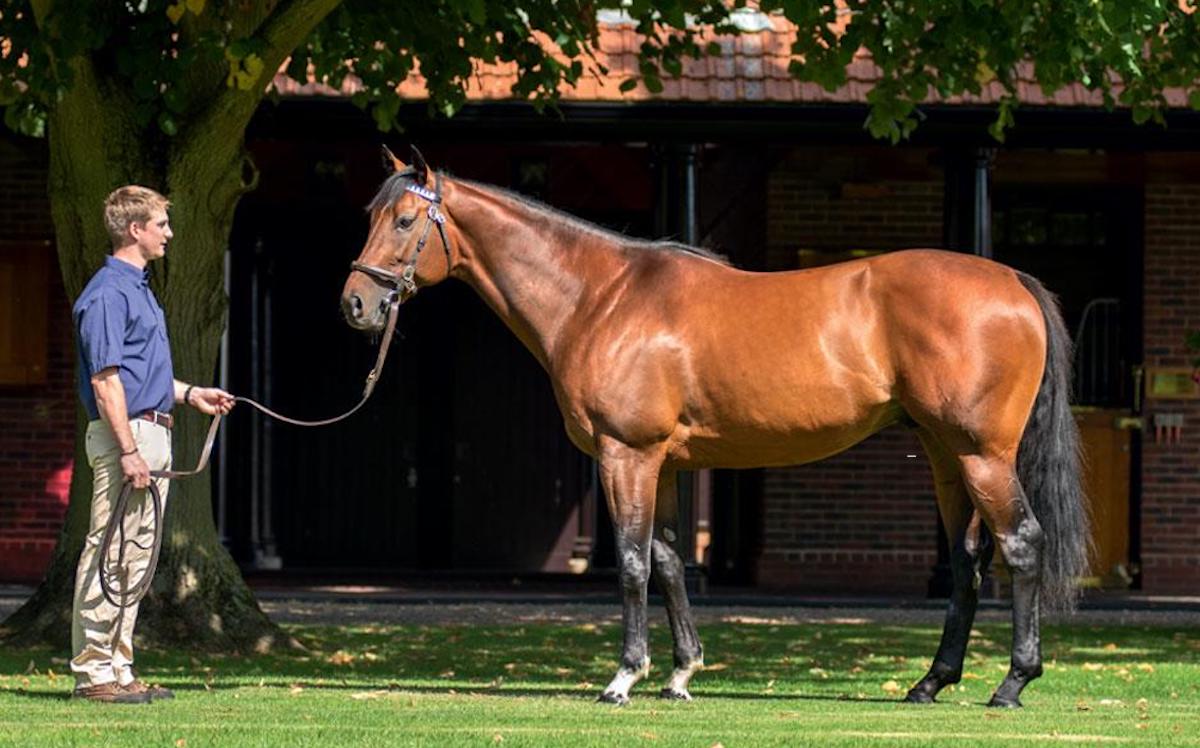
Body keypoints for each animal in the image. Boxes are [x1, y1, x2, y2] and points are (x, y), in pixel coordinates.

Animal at [338, 146, 1089, 705]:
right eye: (372, 213)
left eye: (404, 220)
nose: (356, 304)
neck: (601, 297)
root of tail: (1013, 281)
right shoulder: (664, 463)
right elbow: (671, 560)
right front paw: (681, 673)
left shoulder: (627, 454)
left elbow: (634, 562)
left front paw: (624, 677)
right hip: (944, 454)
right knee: (967, 560)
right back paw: (931, 682)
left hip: (982, 453)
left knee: (1022, 544)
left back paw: (1012, 683)